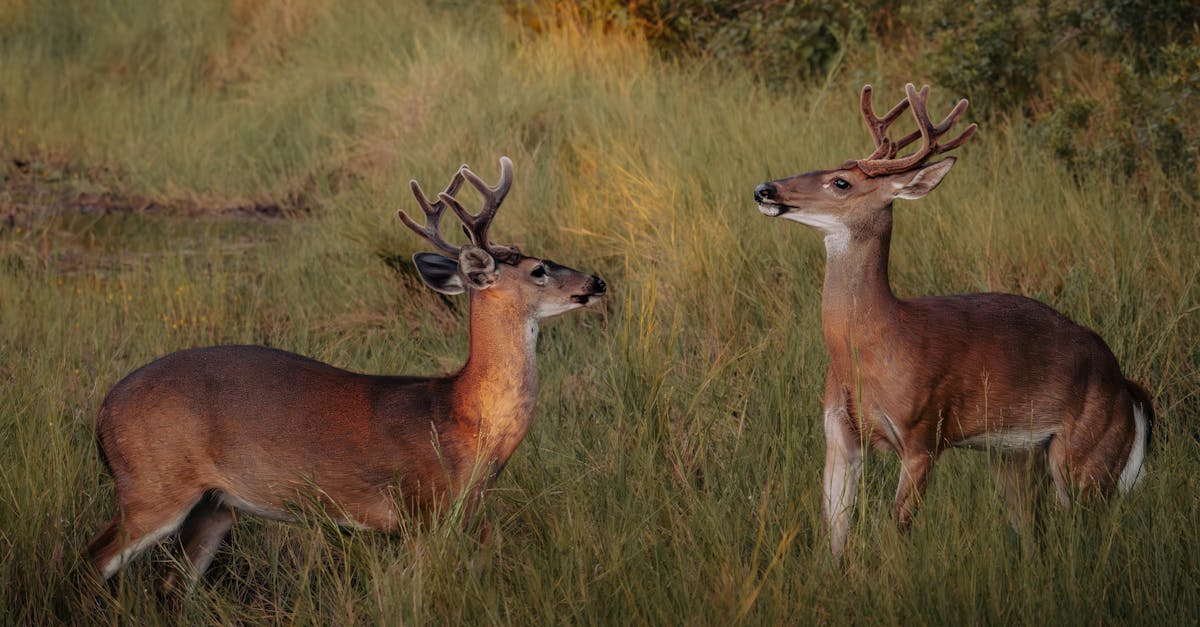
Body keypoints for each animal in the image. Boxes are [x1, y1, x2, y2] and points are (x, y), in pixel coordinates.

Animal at [86, 156, 607, 585]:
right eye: (539, 269)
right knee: (92, 560)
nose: (597, 281)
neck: (462, 417)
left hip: (214, 506)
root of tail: (105, 409)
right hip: (152, 484)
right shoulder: (419, 508)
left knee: (173, 585)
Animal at [753, 83, 1153, 562]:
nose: (764, 189)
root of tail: (1127, 388)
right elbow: (835, 536)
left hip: (1088, 455)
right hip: (1014, 458)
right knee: (1033, 532)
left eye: (841, 182)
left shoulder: (925, 434)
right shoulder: (839, 437)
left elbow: (896, 533)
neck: (874, 345)